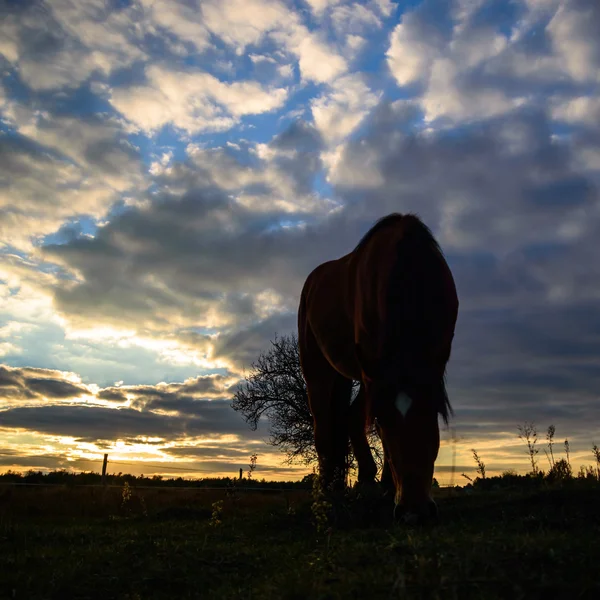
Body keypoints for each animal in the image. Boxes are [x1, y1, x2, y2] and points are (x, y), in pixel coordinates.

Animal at [296, 213, 460, 524]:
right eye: (382, 423)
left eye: (431, 412)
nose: (414, 513)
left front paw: (385, 487)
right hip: (318, 372)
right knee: (324, 427)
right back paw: (328, 492)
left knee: (346, 417)